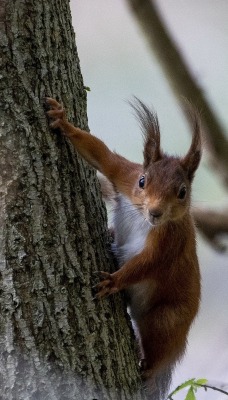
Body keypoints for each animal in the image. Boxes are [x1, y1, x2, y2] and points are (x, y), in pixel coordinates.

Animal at [45, 97, 201, 396]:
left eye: (182, 192)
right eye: (142, 181)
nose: (155, 212)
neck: (142, 218)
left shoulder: (171, 241)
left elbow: (147, 264)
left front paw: (113, 282)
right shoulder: (124, 175)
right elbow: (102, 156)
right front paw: (63, 121)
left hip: (166, 319)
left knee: (157, 348)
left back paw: (149, 370)